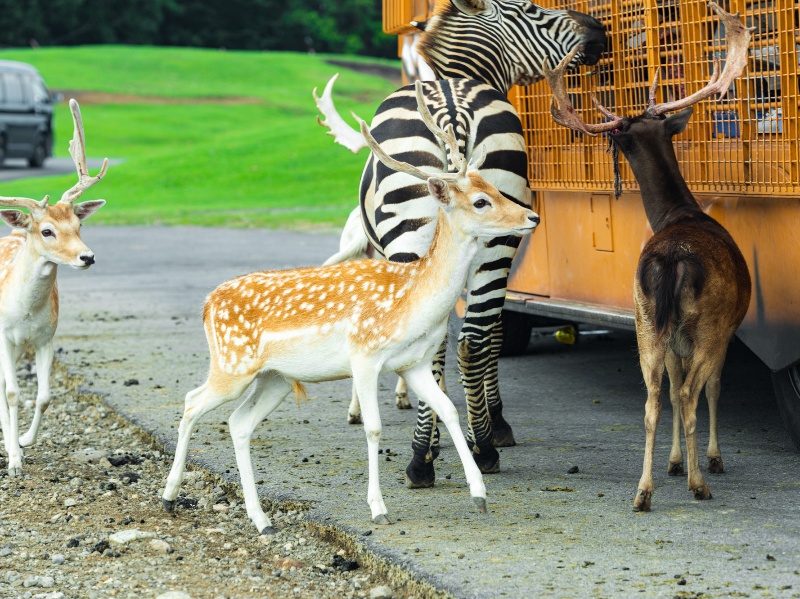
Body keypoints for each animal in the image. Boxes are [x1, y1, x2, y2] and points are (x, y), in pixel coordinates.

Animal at [0, 99, 108, 478]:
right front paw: (14, 462)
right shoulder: (3, 336)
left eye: (79, 224)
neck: (24, 312)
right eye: (47, 230)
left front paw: (24, 441)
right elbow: (14, 393)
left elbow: (44, 395)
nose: (88, 256)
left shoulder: (46, 337)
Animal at [160, 81, 540, 536]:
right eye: (481, 201)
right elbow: (374, 429)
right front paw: (378, 507)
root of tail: (206, 303)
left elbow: (448, 410)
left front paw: (479, 494)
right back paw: (169, 496)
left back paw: (260, 518)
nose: (532, 216)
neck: (412, 300)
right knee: (191, 401)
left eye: (498, 187)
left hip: (274, 378)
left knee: (238, 423)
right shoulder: (365, 354)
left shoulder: (412, 363)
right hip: (232, 365)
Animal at [316, 0, 604, 488]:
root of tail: (452, 110)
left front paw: (449, 431)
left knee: (444, 343)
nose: (600, 31)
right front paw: (479, 426)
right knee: (471, 340)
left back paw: (425, 457)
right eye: (533, 8)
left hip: (424, 237)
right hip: (496, 239)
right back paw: (477, 449)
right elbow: (491, 334)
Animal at [540, 3, 752, 510]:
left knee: (655, 399)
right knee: (692, 393)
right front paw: (710, 459)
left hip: (644, 321)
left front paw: (674, 463)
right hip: (706, 324)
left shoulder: (672, 338)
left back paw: (643, 490)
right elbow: (713, 389)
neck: (679, 214)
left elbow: (672, 393)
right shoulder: (727, 329)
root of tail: (672, 258)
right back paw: (700, 483)